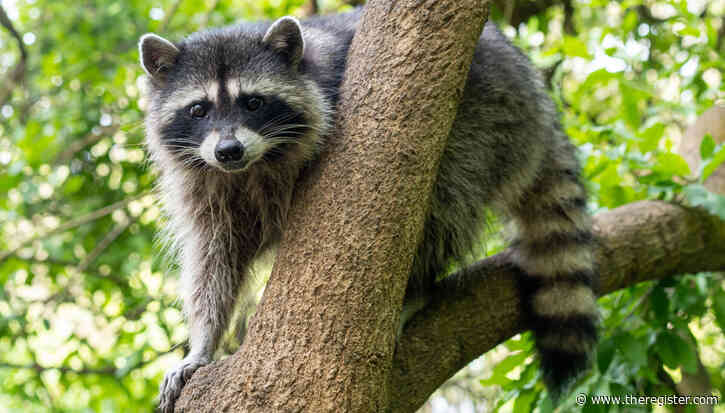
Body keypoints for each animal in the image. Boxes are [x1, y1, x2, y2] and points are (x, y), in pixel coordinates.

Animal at [139, 8, 598, 412]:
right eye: (198, 109)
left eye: (253, 103)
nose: (228, 150)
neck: (253, 165)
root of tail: (536, 96)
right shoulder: (205, 186)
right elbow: (214, 259)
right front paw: (203, 342)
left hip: (487, 117)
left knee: (443, 199)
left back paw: (418, 288)